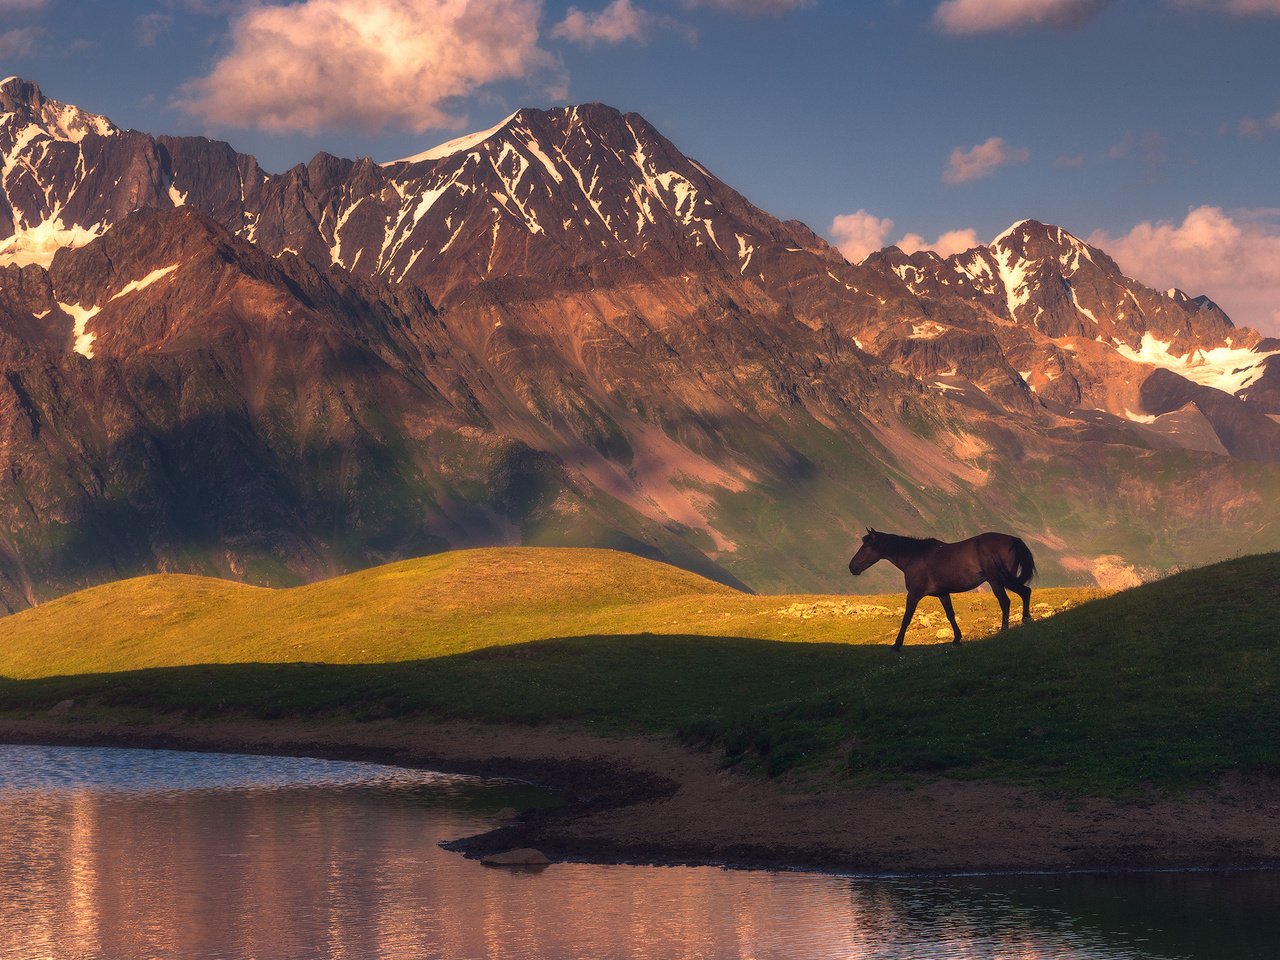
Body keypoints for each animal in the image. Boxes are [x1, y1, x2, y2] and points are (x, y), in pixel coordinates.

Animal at [849, 529, 1039, 650]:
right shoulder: (942, 594)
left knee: (1006, 601)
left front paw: (897, 644)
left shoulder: (914, 594)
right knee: (1025, 592)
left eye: (865, 547)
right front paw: (956, 639)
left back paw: (1004, 629)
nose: (852, 567)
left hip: (998, 581)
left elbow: (906, 619)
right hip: (1006, 580)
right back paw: (1026, 620)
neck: (913, 556)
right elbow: (950, 615)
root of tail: (1012, 539)